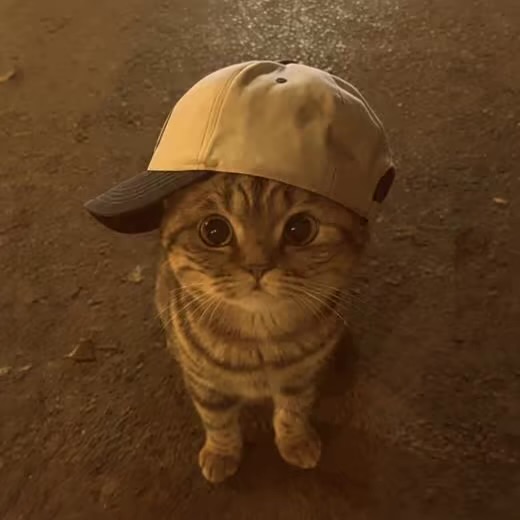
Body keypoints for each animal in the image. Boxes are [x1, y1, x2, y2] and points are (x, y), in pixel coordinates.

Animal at [155, 172, 369, 483]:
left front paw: (296, 441)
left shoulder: (301, 376)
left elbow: (294, 410)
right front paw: (221, 453)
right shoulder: (205, 382)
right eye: (214, 231)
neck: (260, 341)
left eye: (300, 229)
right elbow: (217, 420)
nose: (257, 267)